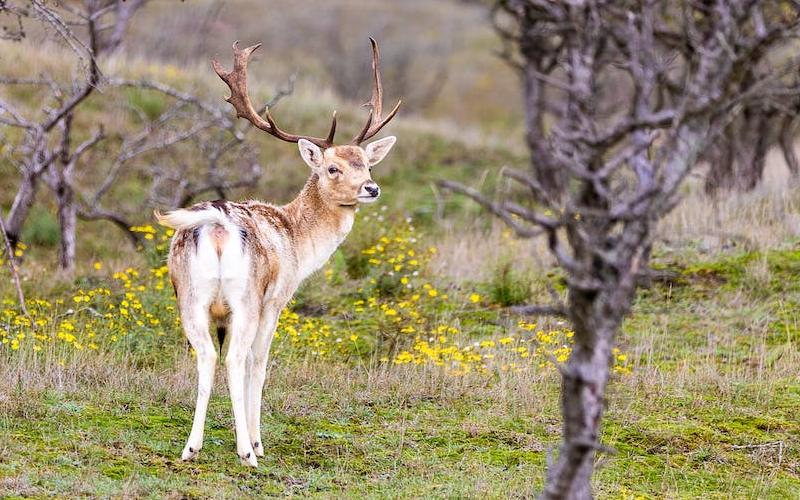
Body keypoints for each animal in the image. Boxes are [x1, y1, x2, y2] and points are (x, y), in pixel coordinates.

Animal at [155, 38, 400, 466]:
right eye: (332, 168)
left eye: (366, 164)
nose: (371, 188)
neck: (296, 238)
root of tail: (216, 226)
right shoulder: (278, 298)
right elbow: (259, 363)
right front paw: (256, 443)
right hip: (246, 298)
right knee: (236, 359)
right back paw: (246, 454)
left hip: (189, 296)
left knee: (206, 356)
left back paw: (190, 448)